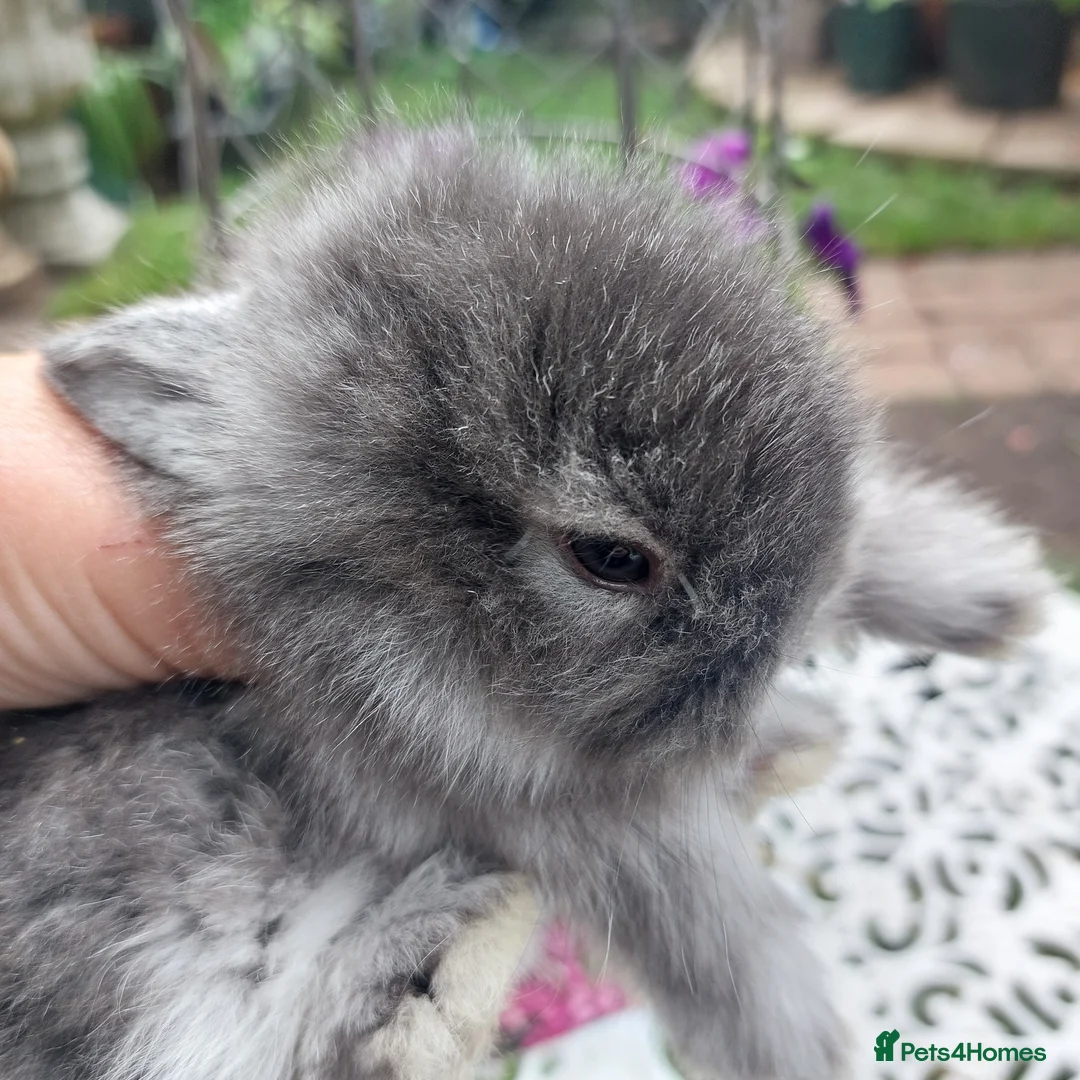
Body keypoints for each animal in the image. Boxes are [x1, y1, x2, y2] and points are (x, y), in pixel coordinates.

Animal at [0, 126, 1051, 1080]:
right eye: (610, 558)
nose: (780, 648)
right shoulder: (542, 810)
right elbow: (703, 909)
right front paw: (796, 1045)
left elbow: (872, 554)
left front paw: (998, 591)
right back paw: (445, 938)